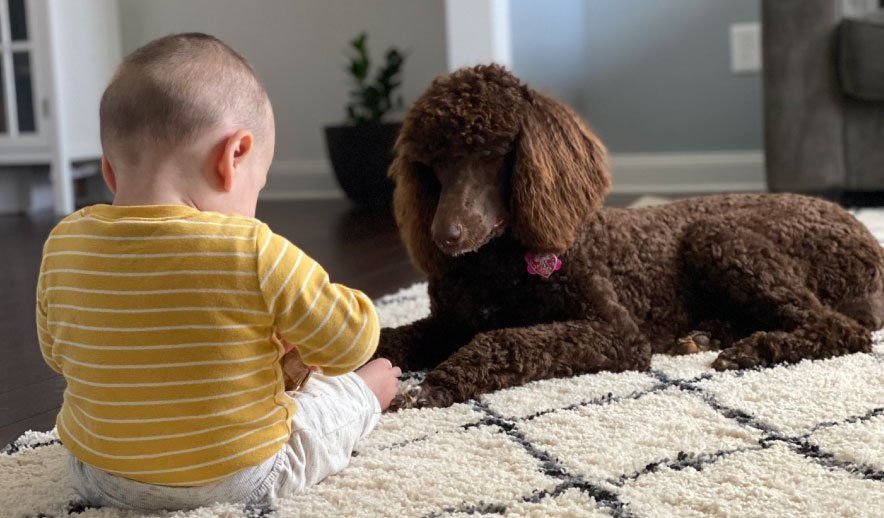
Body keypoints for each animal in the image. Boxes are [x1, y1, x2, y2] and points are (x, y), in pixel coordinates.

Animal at [374, 65, 884, 410]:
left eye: (491, 154)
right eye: (433, 162)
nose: (444, 236)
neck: (497, 261)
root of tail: (865, 237)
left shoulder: (615, 331)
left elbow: (505, 340)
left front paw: (437, 383)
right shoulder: (448, 323)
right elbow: (392, 335)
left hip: (718, 235)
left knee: (840, 328)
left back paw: (749, 350)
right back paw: (704, 335)